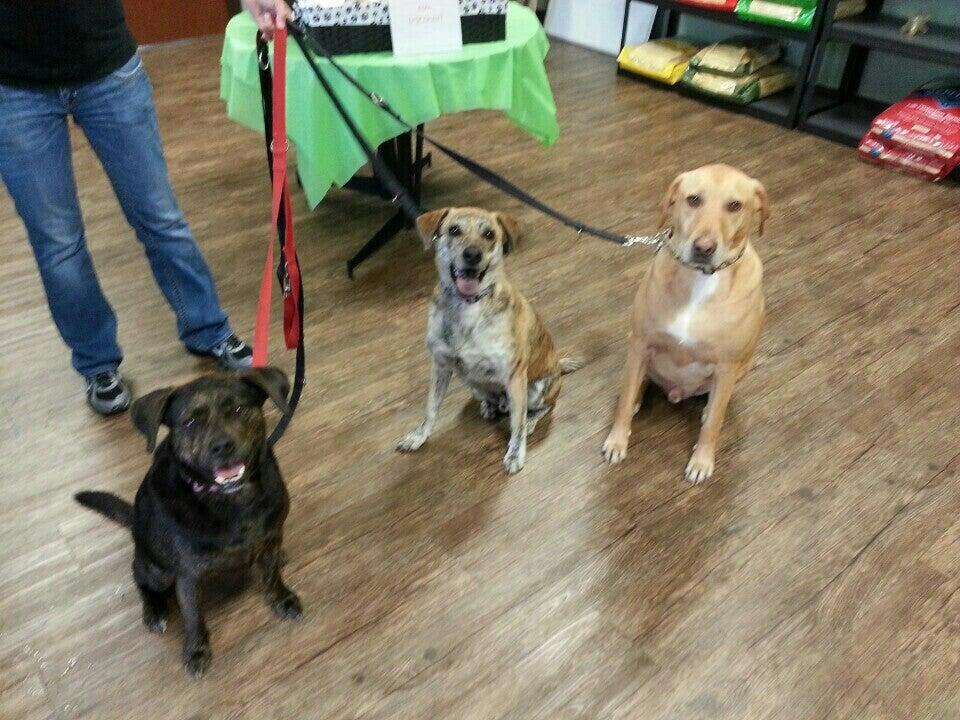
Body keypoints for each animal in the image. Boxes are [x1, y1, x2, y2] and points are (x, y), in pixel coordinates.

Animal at [75, 368, 302, 678]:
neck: (230, 499)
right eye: (190, 422)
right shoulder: (188, 576)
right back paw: (155, 610)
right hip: (157, 570)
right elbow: (193, 616)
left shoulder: (270, 539)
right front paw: (196, 650)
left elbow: (272, 577)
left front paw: (282, 597)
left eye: (238, 409)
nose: (222, 446)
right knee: (139, 576)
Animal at [397, 207, 582, 474]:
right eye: (454, 230)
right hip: (472, 383)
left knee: (541, 408)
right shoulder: (440, 365)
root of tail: (558, 367)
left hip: (537, 388)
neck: (466, 305)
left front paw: (515, 453)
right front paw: (418, 436)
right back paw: (490, 406)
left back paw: (530, 420)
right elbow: (431, 407)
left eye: (489, 235)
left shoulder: (514, 376)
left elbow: (516, 424)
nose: (472, 255)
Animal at [602, 164, 768, 483]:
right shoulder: (640, 342)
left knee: (715, 404)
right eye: (693, 200)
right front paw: (617, 441)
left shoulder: (727, 366)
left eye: (735, 205)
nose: (704, 247)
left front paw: (702, 461)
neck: (699, 280)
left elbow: (713, 424)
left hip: (741, 368)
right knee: (637, 383)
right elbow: (624, 401)